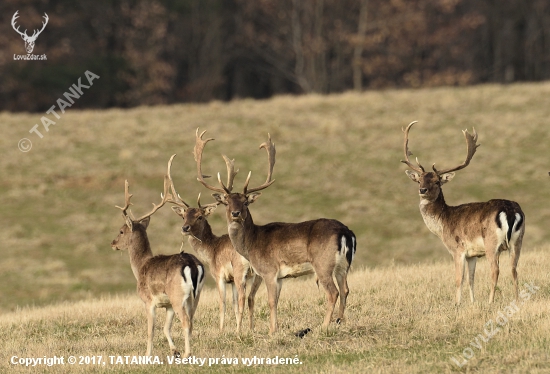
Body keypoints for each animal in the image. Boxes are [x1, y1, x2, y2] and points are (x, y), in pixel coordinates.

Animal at [111, 155, 206, 356]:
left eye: (121, 231)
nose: (113, 243)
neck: (140, 267)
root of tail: (192, 265)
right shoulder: (167, 304)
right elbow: (165, 328)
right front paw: (174, 351)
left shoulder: (148, 301)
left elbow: (151, 331)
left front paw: (147, 355)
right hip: (196, 294)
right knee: (192, 321)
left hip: (178, 296)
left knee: (186, 322)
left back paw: (187, 354)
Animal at [167, 174, 264, 332]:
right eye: (183, 216)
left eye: (200, 216)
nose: (185, 228)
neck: (211, 251)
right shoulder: (231, 280)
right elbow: (233, 303)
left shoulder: (219, 275)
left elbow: (222, 302)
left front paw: (221, 330)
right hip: (258, 273)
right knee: (251, 297)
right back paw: (251, 329)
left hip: (240, 271)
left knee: (243, 297)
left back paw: (239, 331)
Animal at [194, 129, 358, 334]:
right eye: (227, 202)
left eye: (245, 201)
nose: (235, 213)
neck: (251, 244)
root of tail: (346, 233)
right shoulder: (280, 277)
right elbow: (277, 301)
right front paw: (276, 328)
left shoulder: (269, 270)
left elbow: (271, 301)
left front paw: (272, 331)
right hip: (343, 265)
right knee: (345, 290)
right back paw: (340, 321)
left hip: (323, 263)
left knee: (333, 292)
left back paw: (324, 326)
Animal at [404, 122, 528, 304]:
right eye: (419, 180)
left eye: (436, 181)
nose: (423, 190)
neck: (443, 224)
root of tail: (510, 211)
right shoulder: (472, 254)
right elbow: (471, 278)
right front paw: (472, 302)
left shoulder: (458, 249)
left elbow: (459, 278)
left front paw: (457, 303)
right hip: (517, 241)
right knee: (514, 269)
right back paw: (517, 301)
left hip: (492, 242)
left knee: (495, 269)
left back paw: (490, 302)